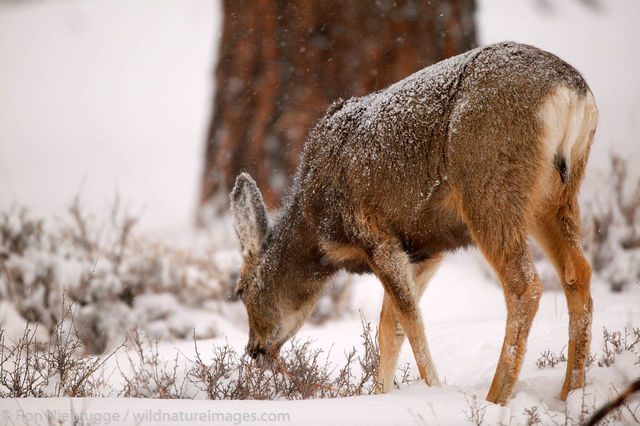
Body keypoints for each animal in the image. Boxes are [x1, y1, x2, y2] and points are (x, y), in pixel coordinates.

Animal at [229, 41, 598, 405]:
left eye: (240, 290)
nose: (254, 349)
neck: (316, 226)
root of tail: (573, 93)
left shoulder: (373, 232)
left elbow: (409, 319)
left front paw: (431, 387)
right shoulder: (425, 247)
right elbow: (389, 326)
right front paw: (380, 395)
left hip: (490, 186)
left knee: (525, 285)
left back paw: (495, 398)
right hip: (554, 196)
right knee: (577, 272)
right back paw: (571, 393)